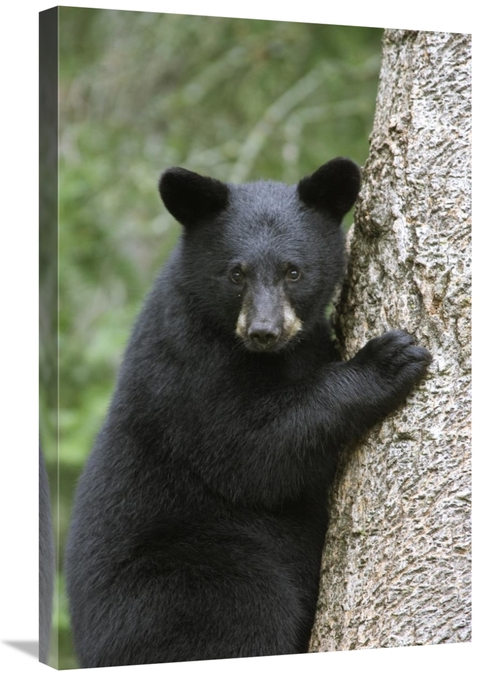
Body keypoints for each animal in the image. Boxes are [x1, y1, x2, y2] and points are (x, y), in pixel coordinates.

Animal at [65, 158, 431, 667]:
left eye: (293, 271)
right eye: (236, 273)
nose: (263, 330)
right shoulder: (189, 368)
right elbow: (252, 453)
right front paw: (388, 359)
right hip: (195, 576)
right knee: (246, 612)